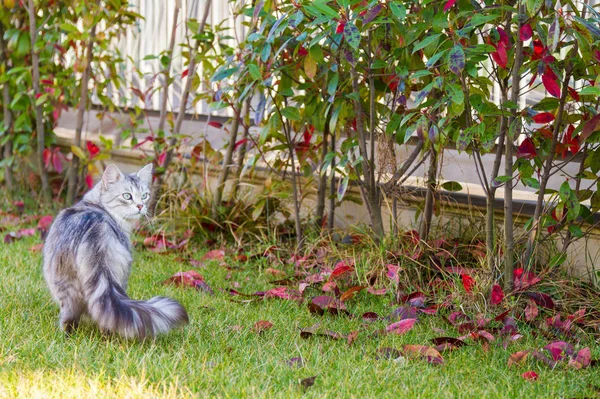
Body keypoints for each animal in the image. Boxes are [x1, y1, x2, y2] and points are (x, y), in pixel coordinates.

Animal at [42, 164, 188, 340]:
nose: (140, 206)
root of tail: (96, 231)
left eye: (144, 196)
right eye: (127, 196)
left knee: (75, 317)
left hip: (68, 286)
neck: (96, 205)